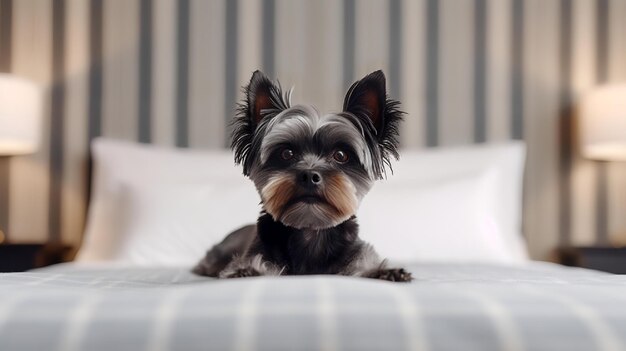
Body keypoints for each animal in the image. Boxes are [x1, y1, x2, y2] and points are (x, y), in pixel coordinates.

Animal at [193, 69, 412, 284]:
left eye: (341, 155)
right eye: (286, 153)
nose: (309, 175)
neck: (310, 231)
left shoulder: (357, 252)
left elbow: (364, 263)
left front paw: (384, 271)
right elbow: (257, 263)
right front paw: (248, 270)